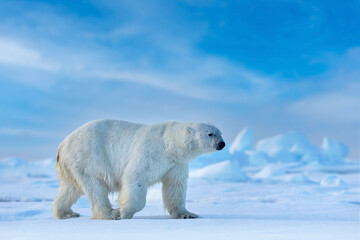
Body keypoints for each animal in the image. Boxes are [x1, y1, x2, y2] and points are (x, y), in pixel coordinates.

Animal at [52, 120, 225, 219]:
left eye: (220, 133)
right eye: (210, 134)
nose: (222, 144)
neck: (168, 143)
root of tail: (61, 145)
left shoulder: (175, 164)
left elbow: (175, 186)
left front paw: (187, 214)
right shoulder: (150, 152)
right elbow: (135, 176)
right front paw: (125, 212)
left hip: (71, 166)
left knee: (70, 189)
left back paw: (66, 213)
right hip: (88, 158)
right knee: (95, 187)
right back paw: (111, 213)